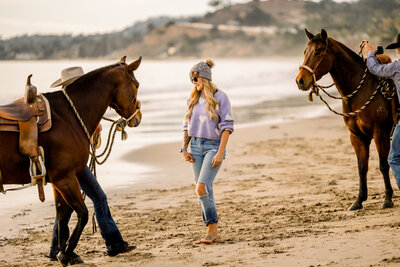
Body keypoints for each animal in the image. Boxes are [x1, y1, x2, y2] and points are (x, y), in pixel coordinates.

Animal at [0, 56, 143, 266]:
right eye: (136, 84)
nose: (138, 117)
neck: (67, 116)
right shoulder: (65, 178)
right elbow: (82, 214)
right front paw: (66, 254)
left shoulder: (57, 181)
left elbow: (62, 215)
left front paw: (62, 252)